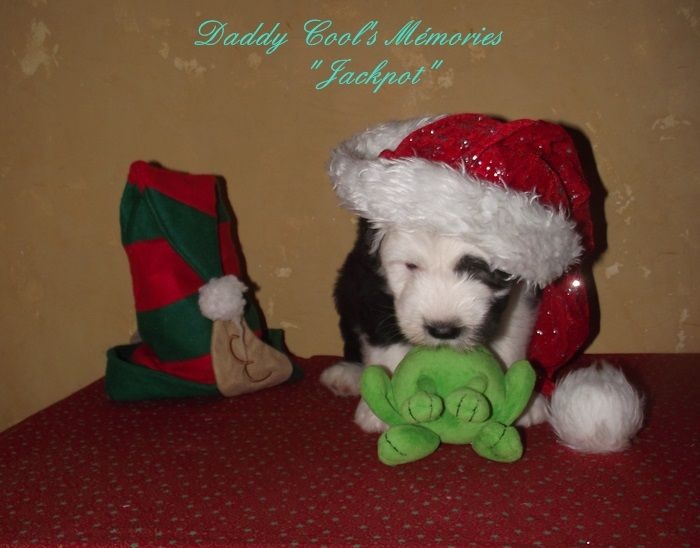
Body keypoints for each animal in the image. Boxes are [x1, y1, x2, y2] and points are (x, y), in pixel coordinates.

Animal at [320, 114, 644, 453]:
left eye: (483, 271)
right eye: (411, 266)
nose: (443, 330)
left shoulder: (521, 294)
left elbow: (511, 341)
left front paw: (522, 406)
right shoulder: (369, 282)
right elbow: (384, 343)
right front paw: (381, 411)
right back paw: (346, 374)